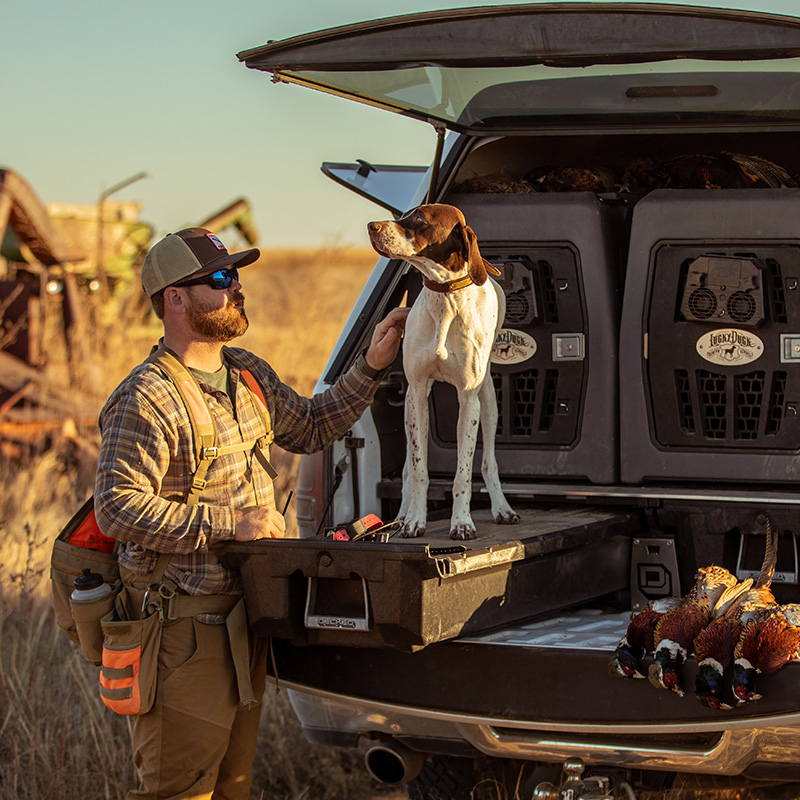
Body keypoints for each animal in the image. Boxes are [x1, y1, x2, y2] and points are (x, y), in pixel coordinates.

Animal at [368, 203, 520, 540]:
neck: (445, 300)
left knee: (489, 462)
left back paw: (502, 508)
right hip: (410, 405)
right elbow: (418, 470)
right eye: (403, 215)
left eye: (419, 219)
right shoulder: (417, 394)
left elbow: (463, 474)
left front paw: (462, 522)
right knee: (408, 470)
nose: (372, 226)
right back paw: (402, 514)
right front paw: (414, 520)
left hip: (488, 402)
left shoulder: (468, 401)